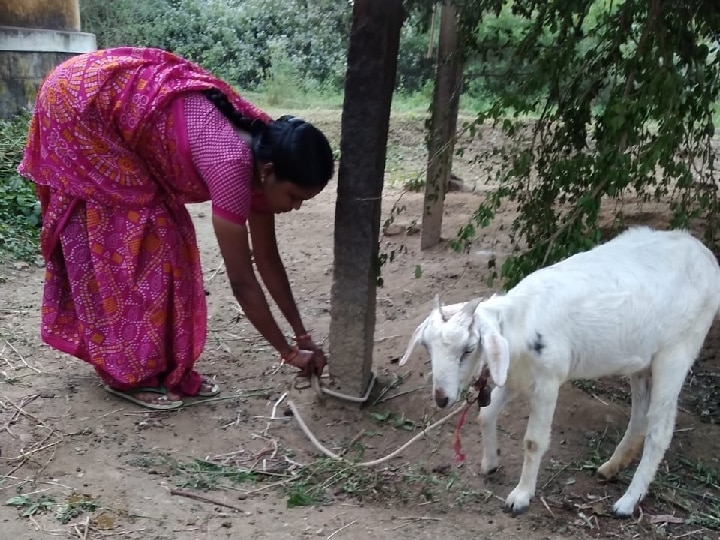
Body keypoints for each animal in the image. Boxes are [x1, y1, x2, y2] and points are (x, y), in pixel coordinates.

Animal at [400, 226, 720, 516]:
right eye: (426, 346)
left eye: (468, 348)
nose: (441, 398)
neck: (520, 321)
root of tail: (705, 255)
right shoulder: (514, 375)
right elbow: (485, 415)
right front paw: (490, 463)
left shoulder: (547, 382)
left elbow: (533, 441)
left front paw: (521, 496)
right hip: (643, 360)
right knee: (641, 414)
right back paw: (611, 467)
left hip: (678, 350)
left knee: (660, 430)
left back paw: (628, 502)